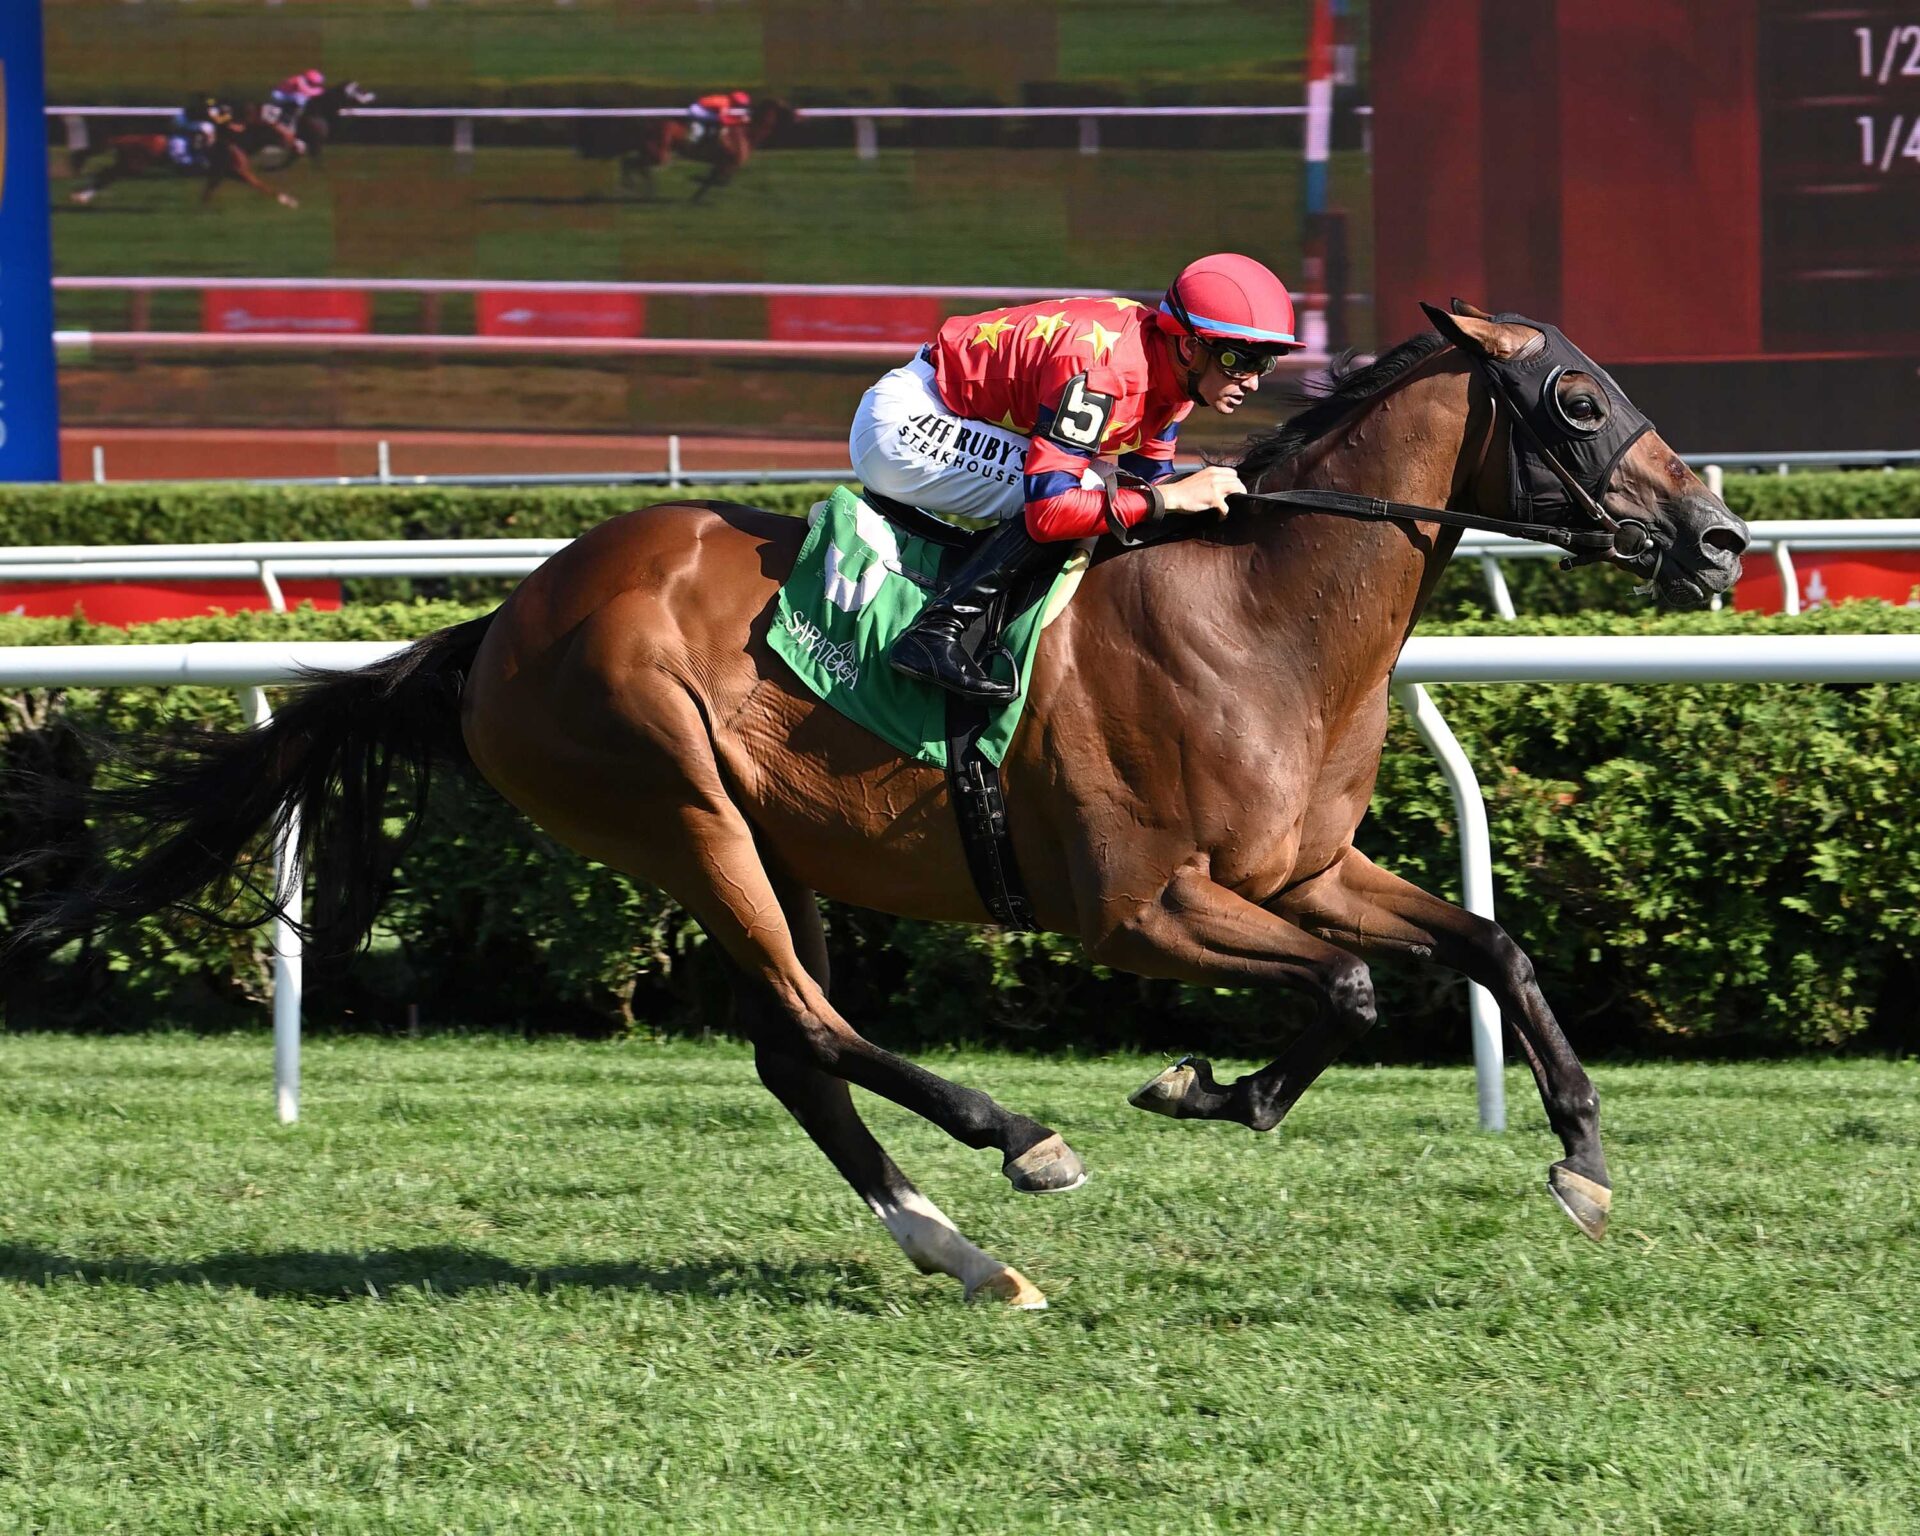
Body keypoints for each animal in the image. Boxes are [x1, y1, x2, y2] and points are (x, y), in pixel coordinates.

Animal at [14, 304, 1746, 1310]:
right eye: (1578, 403)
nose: (1723, 540)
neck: (1254, 611)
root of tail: (498, 622)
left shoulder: (1303, 868)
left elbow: (1481, 948)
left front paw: (1582, 1158)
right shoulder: (1138, 906)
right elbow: (1354, 989)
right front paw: (1209, 1087)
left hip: (765, 839)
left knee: (795, 1051)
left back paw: (964, 1251)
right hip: (680, 810)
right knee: (813, 1026)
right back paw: (1016, 1144)